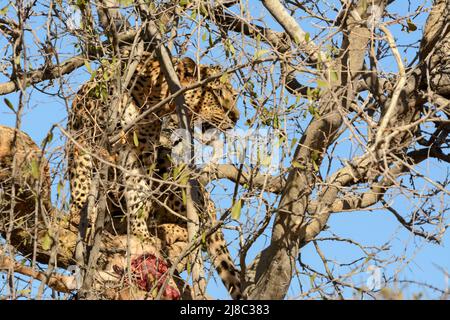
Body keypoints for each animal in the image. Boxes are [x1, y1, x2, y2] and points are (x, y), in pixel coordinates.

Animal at [66, 50, 243, 298]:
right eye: (217, 93)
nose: (236, 117)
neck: (155, 96)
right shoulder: (84, 132)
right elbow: (81, 177)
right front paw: (80, 213)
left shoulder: (141, 150)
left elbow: (139, 191)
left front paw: (141, 232)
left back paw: (160, 230)